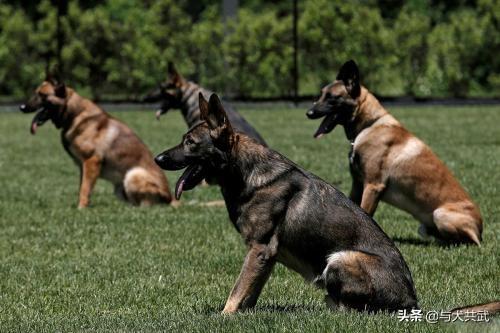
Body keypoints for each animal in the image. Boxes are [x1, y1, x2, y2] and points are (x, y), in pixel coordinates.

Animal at [19, 70, 175, 208]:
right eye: (36, 93)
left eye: (42, 95)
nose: (22, 107)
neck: (74, 114)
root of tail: (172, 198)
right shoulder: (83, 166)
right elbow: (83, 187)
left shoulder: (91, 161)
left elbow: (84, 189)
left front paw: (81, 209)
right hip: (120, 188)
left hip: (132, 175)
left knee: (147, 206)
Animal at [155, 92, 418, 312]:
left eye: (190, 142)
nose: (157, 158)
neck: (242, 172)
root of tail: (411, 301)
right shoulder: (266, 257)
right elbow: (250, 292)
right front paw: (243, 314)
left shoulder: (259, 249)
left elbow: (237, 290)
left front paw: (224, 317)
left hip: (339, 258)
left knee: (349, 308)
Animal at [306, 61, 482, 245]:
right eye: (320, 95)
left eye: (331, 97)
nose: (309, 113)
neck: (370, 124)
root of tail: (480, 229)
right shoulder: (357, 185)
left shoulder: (373, 185)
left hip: (440, 214)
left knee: (467, 241)